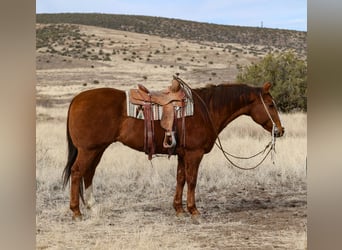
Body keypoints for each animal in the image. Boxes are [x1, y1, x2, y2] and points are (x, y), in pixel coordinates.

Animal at [62, 81, 284, 220]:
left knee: (88, 173)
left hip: (97, 149)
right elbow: (192, 180)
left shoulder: (183, 155)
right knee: (77, 172)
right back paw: (76, 212)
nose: (280, 131)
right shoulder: (194, 154)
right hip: (88, 150)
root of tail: (76, 99)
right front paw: (194, 211)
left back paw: (92, 207)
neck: (207, 111)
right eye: (271, 104)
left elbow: (181, 179)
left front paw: (179, 209)